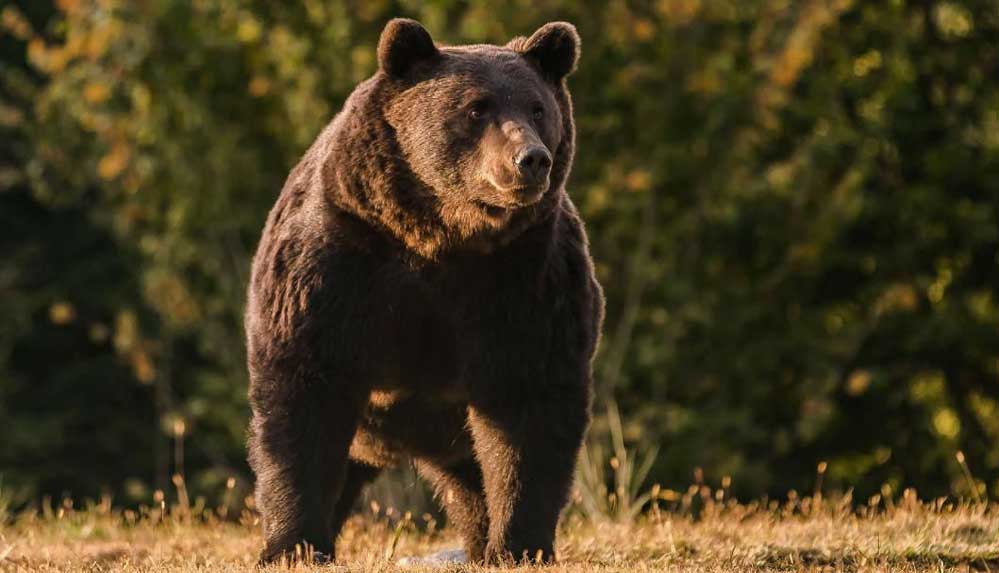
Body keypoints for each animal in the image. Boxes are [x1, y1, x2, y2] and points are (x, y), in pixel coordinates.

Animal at [246, 17, 604, 564]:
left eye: (538, 108)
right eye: (476, 107)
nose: (531, 160)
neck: (441, 235)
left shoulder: (525, 279)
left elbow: (529, 410)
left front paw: (519, 544)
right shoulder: (337, 262)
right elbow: (303, 392)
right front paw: (293, 545)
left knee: (473, 481)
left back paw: (480, 543)